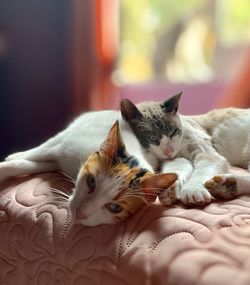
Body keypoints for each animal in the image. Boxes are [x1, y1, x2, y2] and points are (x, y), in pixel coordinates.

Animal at [0, 112, 178, 225]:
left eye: (115, 208)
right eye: (91, 182)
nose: (80, 213)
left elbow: (31, 164)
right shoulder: (63, 145)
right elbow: (36, 154)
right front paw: (8, 163)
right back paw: (15, 155)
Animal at [120, 92, 250, 204]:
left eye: (173, 133)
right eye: (152, 139)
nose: (169, 151)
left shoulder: (207, 154)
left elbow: (200, 172)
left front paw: (193, 191)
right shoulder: (177, 159)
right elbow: (176, 171)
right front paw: (169, 190)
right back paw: (226, 186)